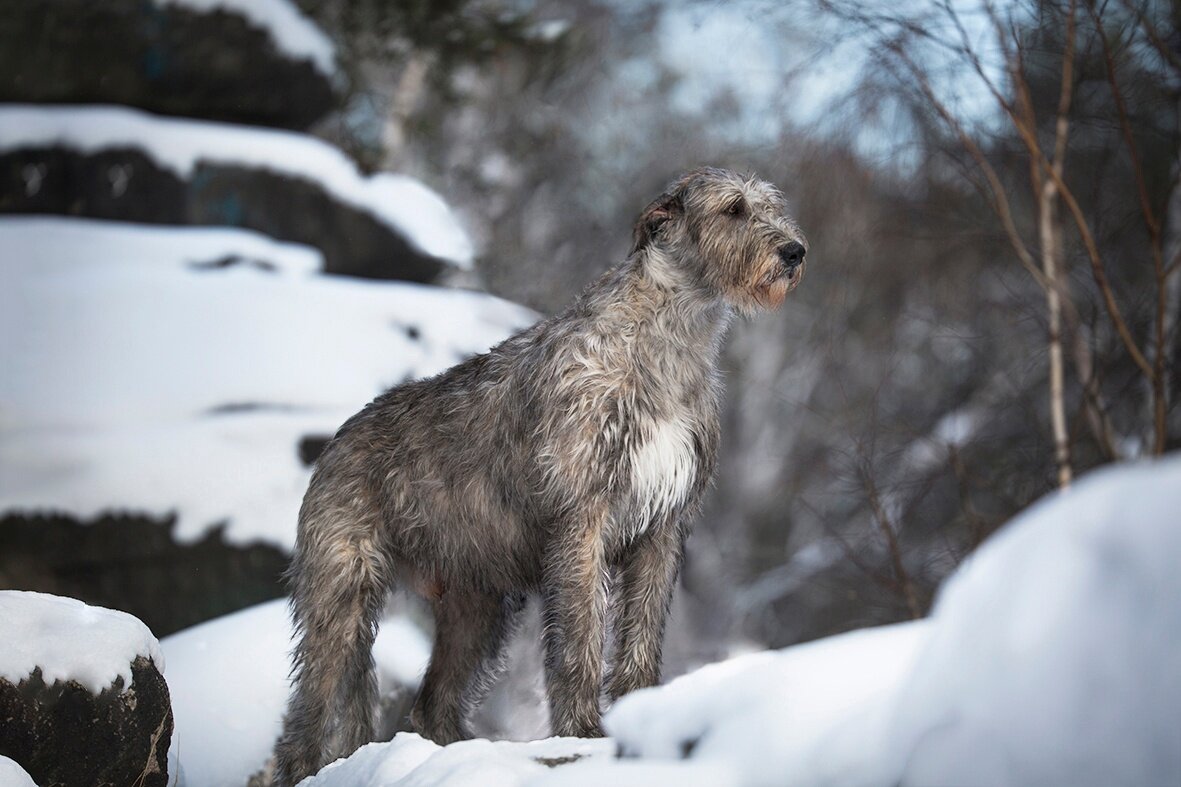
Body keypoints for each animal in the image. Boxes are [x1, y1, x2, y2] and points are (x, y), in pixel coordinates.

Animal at [272, 164, 807, 779]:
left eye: (772, 207)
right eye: (734, 208)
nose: (795, 252)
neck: (663, 341)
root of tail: (338, 439)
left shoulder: (663, 528)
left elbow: (642, 638)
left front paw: (641, 722)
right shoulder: (582, 522)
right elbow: (578, 643)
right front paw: (584, 732)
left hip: (477, 606)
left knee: (432, 704)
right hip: (342, 594)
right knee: (308, 713)